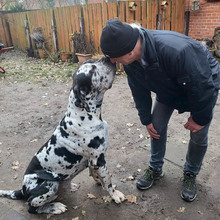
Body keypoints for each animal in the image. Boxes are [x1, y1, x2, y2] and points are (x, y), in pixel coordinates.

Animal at [0, 55, 124, 214]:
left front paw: (98, 181)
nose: (107, 57)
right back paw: (54, 207)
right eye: (92, 70)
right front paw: (115, 195)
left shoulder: (93, 161)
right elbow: (108, 180)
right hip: (49, 184)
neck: (83, 114)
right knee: (32, 206)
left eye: (91, 62)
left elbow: (96, 174)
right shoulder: (99, 160)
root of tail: (22, 191)